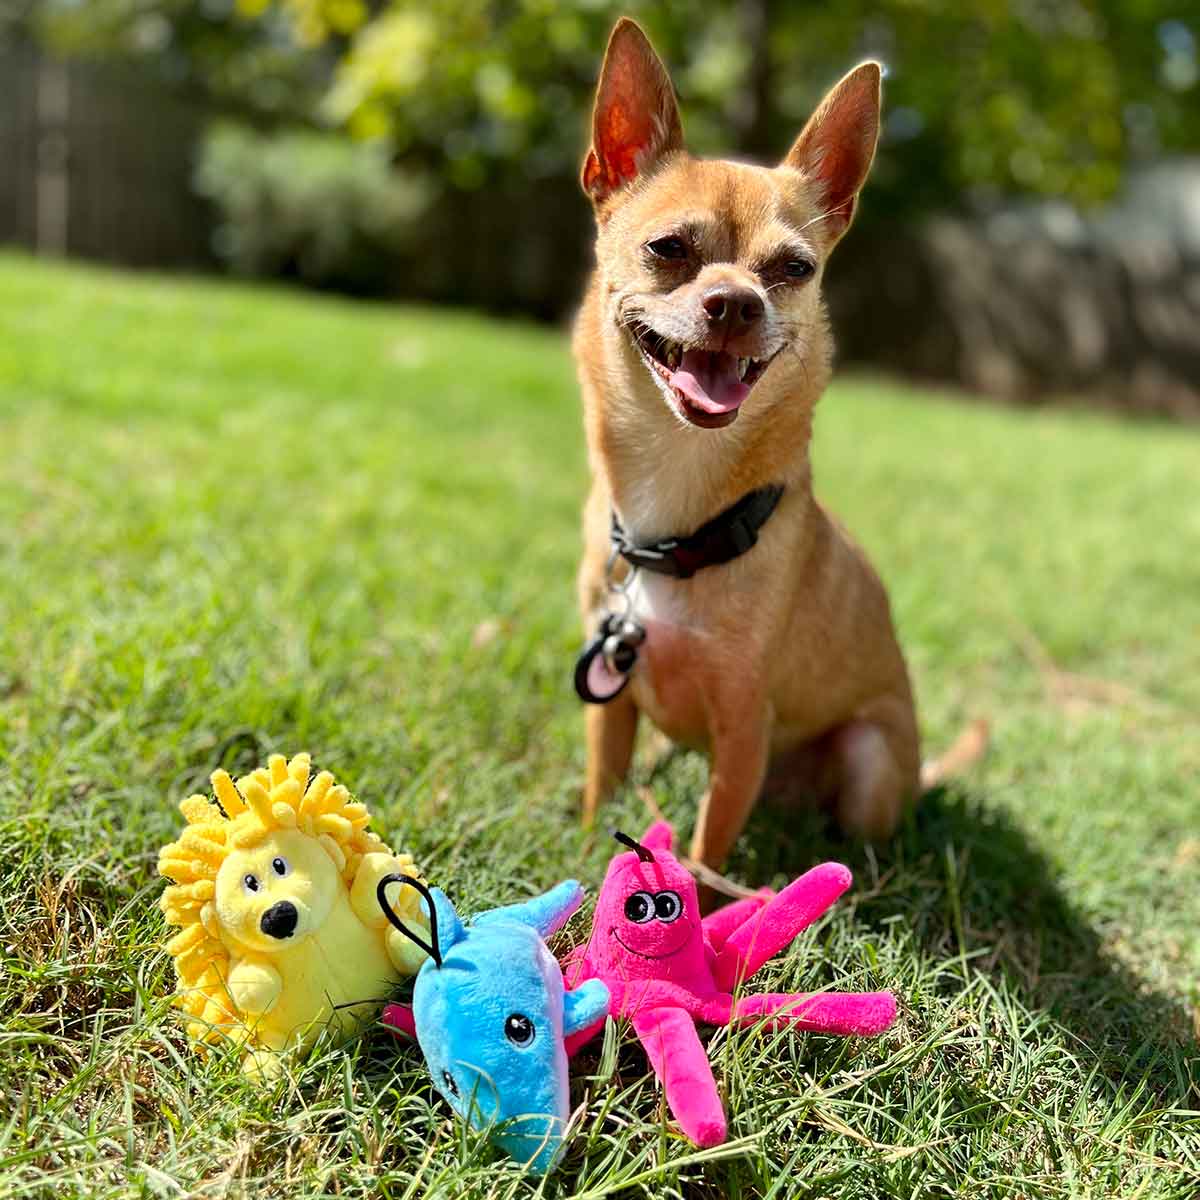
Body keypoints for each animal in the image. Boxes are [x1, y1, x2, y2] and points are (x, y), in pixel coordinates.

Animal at [573, 18, 984, 873]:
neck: (680, 506)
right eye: (668, 249)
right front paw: (589, 844)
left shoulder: (742, 729)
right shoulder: (609, 693)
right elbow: (602, 782)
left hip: (867, 758)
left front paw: (703, 891)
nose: (737, 303)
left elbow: (710, 839)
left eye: (795, 268)